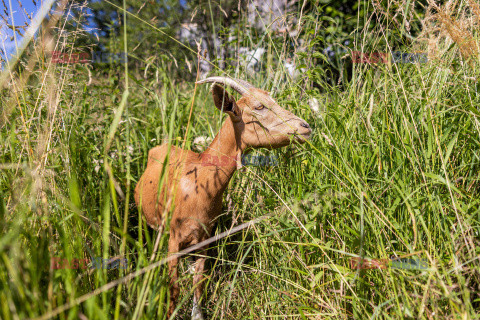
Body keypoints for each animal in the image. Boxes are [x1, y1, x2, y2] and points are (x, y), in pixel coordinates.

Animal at [133, 76, 314, 318]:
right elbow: (174, 287)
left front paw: (197, 314)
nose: (305, 127)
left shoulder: (204, 236)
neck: (200, 183)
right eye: (259, 107)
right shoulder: (174, 238)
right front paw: (170, 313)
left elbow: (199, 281)